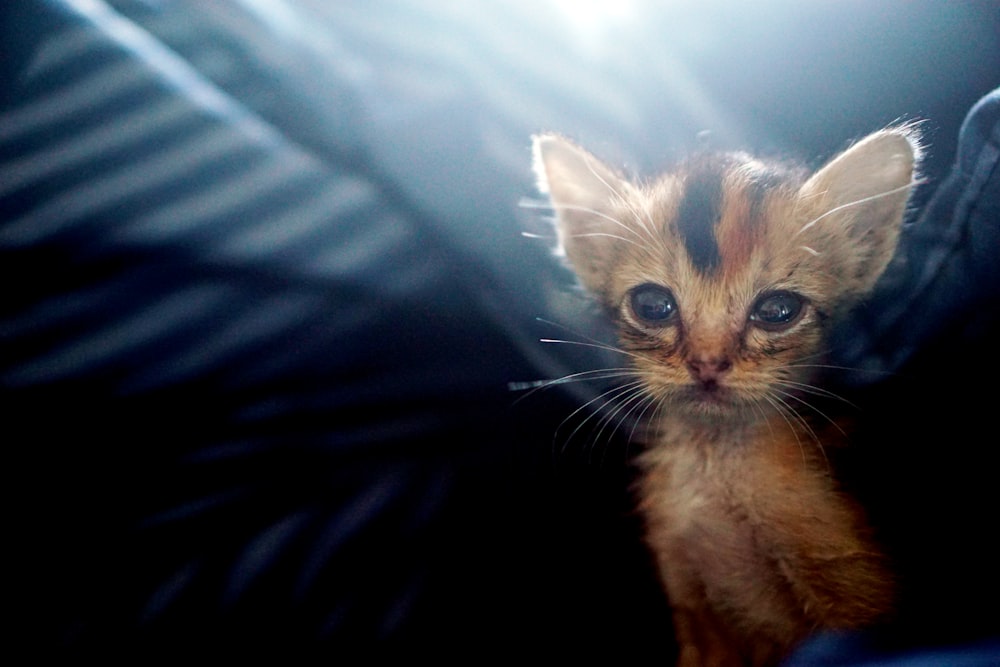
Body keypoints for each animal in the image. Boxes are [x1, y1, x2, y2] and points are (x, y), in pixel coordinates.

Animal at [536, 128, 916, 664]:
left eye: (777, 310)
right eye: (652, 305)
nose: (708, 363)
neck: (714, 467)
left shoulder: (856, 597)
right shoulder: (690, 603)